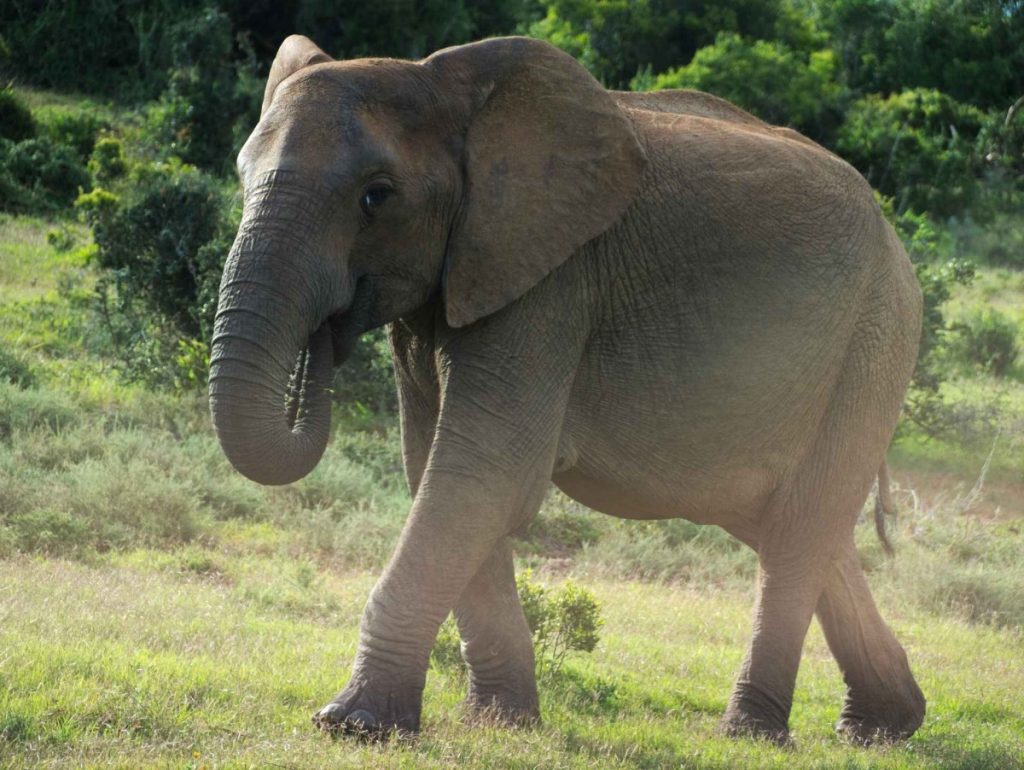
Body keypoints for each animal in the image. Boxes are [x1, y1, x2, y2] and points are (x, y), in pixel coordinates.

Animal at [207, 33, 929, 741]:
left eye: (375, 196)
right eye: (241, 176)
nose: (324, 338)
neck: (437, 79)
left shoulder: (553, 283)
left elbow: (483, 473)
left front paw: (353, 724)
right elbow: (436, 469)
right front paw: (500, 720)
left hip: (875, 337)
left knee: (801, 528)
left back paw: (753, 733)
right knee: (788, 521)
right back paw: (883, 726)